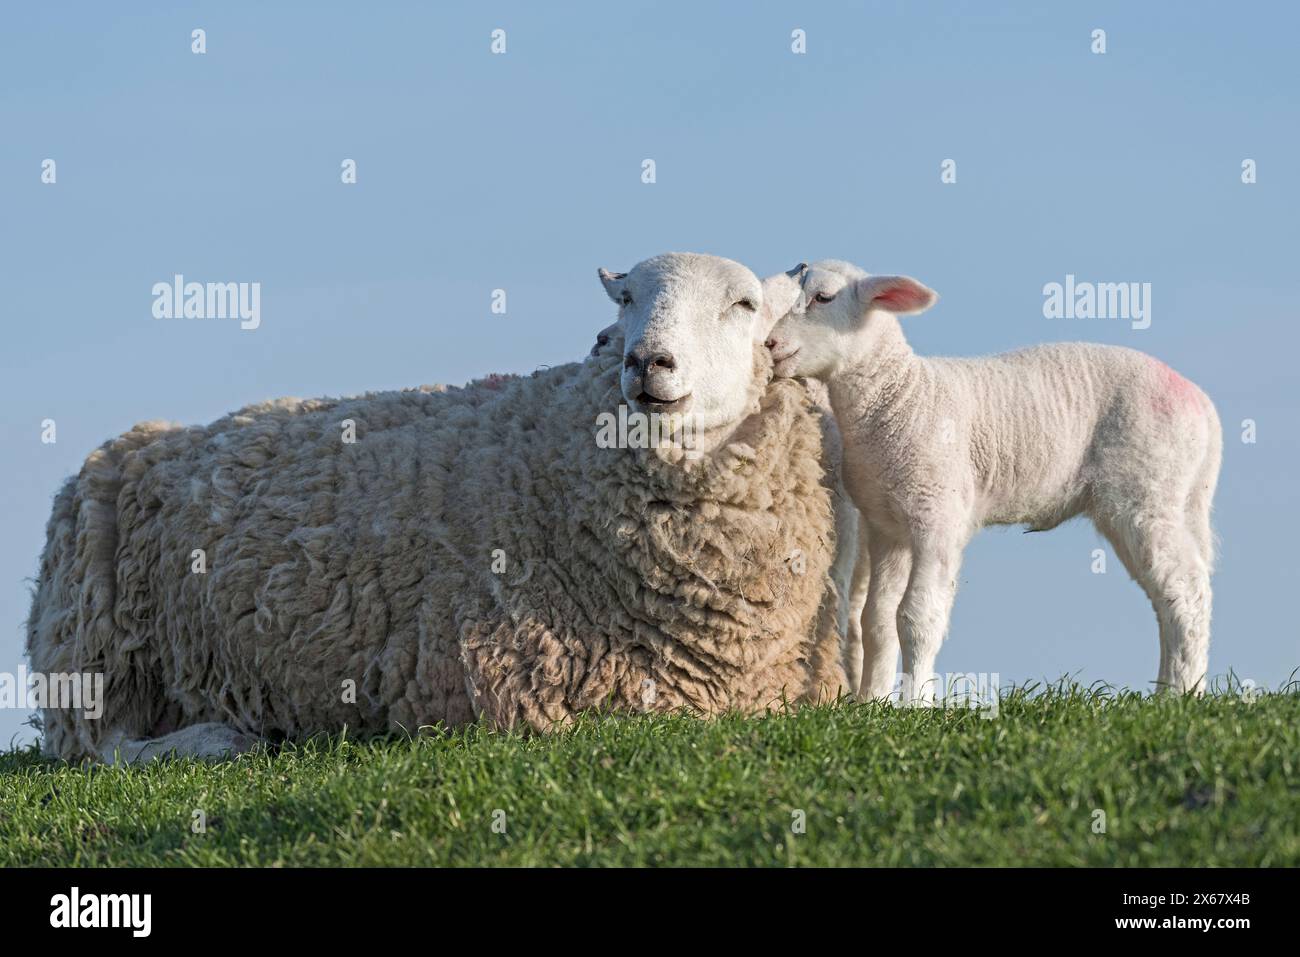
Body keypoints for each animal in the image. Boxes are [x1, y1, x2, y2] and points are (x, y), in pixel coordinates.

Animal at [30, 252, 852, 764]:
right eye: (626, 299)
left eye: (743, 304)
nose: (646, 362)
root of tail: (131, 442)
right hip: (96, 649)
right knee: (102, 749)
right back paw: (218, 741)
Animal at [759, 261, 1216, 702]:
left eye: (823, 297)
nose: (770, 345)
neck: (898, 395)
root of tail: (1204, 408)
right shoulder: (887, 527)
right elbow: (877, 620)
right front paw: (872, 702)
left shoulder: (937, 514)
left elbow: (917, 616)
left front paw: (916, 704)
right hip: (1167, 500)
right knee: (1167, 596)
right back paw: (1169, 690)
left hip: (1147, 491)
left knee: (1187, 593)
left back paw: (1181, 695)